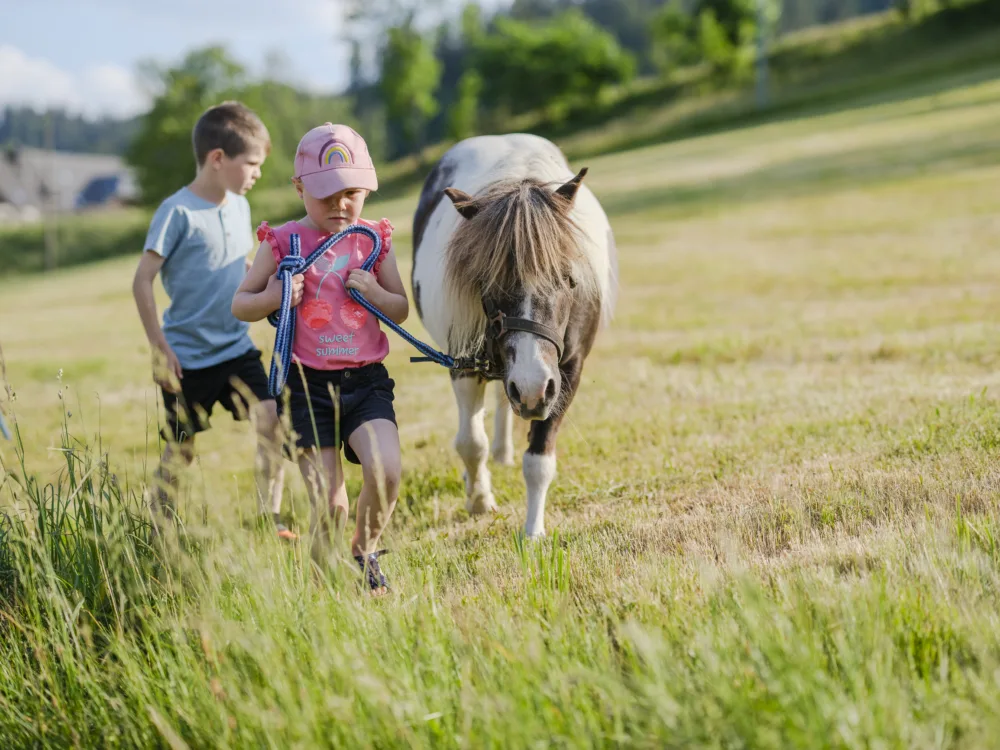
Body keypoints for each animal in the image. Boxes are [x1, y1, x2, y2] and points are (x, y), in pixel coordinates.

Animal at [412, 132, 616, 536]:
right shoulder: (463, 363)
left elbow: (539, 458)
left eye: (568, 278)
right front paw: (479, 500)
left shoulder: (565, 373)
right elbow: (470, 442)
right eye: (485, 281)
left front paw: (533, 531)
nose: (532, 387)